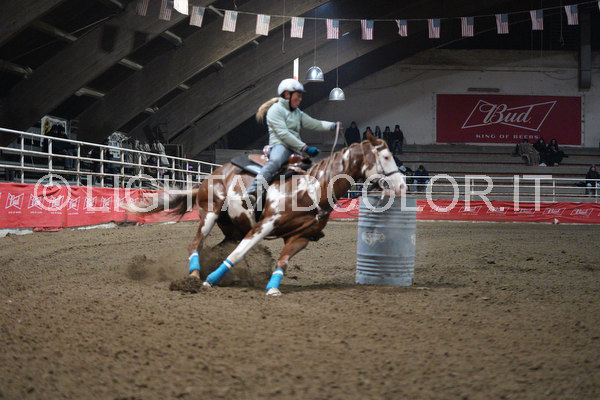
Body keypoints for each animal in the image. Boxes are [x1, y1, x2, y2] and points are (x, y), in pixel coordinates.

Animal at [132, 132, 406, 296]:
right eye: (385, 156)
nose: (403, 185)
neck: (312, 188)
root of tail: (212, 175)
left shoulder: (301, 237)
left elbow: (282, 262)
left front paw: (273, 288)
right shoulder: (264, 225)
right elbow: (239, 254)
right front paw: (211, 280)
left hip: (232, 228)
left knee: (216, 246)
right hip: (209, 214)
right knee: (195, 244)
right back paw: (194, 275)